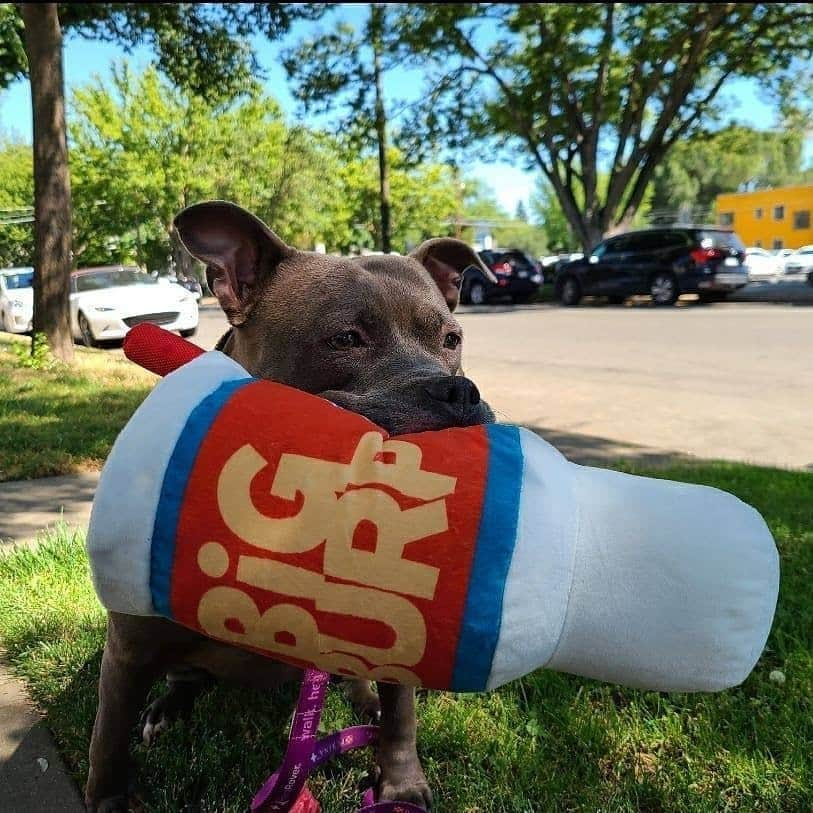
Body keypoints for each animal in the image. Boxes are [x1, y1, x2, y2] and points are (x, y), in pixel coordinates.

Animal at [87, 200, 494, 808]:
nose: (459, 392)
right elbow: (108, 741)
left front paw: (400, 783)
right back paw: (168, 706)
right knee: (184, 675)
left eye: (452, 339)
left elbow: (401, 714)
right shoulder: (129, 651)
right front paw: (109, 797)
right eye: (346, 338)